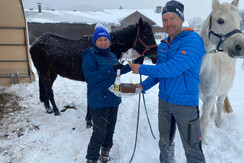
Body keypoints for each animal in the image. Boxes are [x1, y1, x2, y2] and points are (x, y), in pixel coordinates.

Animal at [198, 0, 244, 143]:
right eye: (220, 20)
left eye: (239, 20)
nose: (241, 47)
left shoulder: (210, 97)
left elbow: (204, 121)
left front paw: (203, 142)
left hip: (223, 92)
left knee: (219, 104)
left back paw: (218, 121)